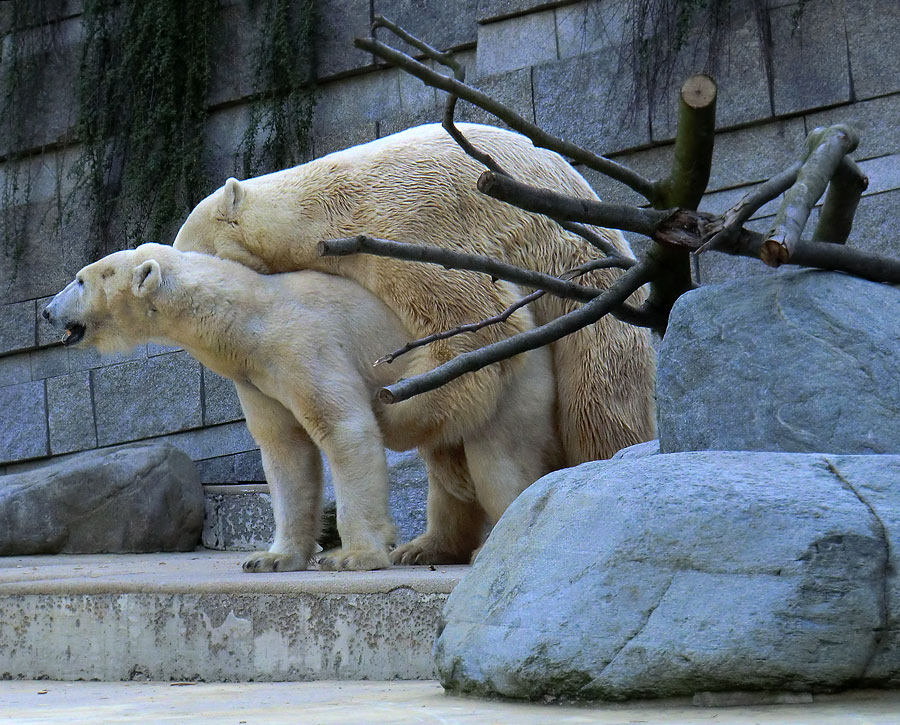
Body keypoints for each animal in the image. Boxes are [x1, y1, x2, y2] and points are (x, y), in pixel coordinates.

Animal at [44, 243, 564, 572]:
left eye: (79, 279)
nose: (47, 312)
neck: (247, 317)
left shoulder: (303, 345)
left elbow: (343, 428)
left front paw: (353, 556)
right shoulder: (257, 378)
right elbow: (285, 450)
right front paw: (271, 558)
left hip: (497, 372)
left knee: (496, 460)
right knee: (447, 463)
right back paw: (425, 549)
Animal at [174, 124, 652, 476]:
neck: (323, 208)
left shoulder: (408, 226)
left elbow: (471, 321)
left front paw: (393, 415)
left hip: (580, 269)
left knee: (600, 393)